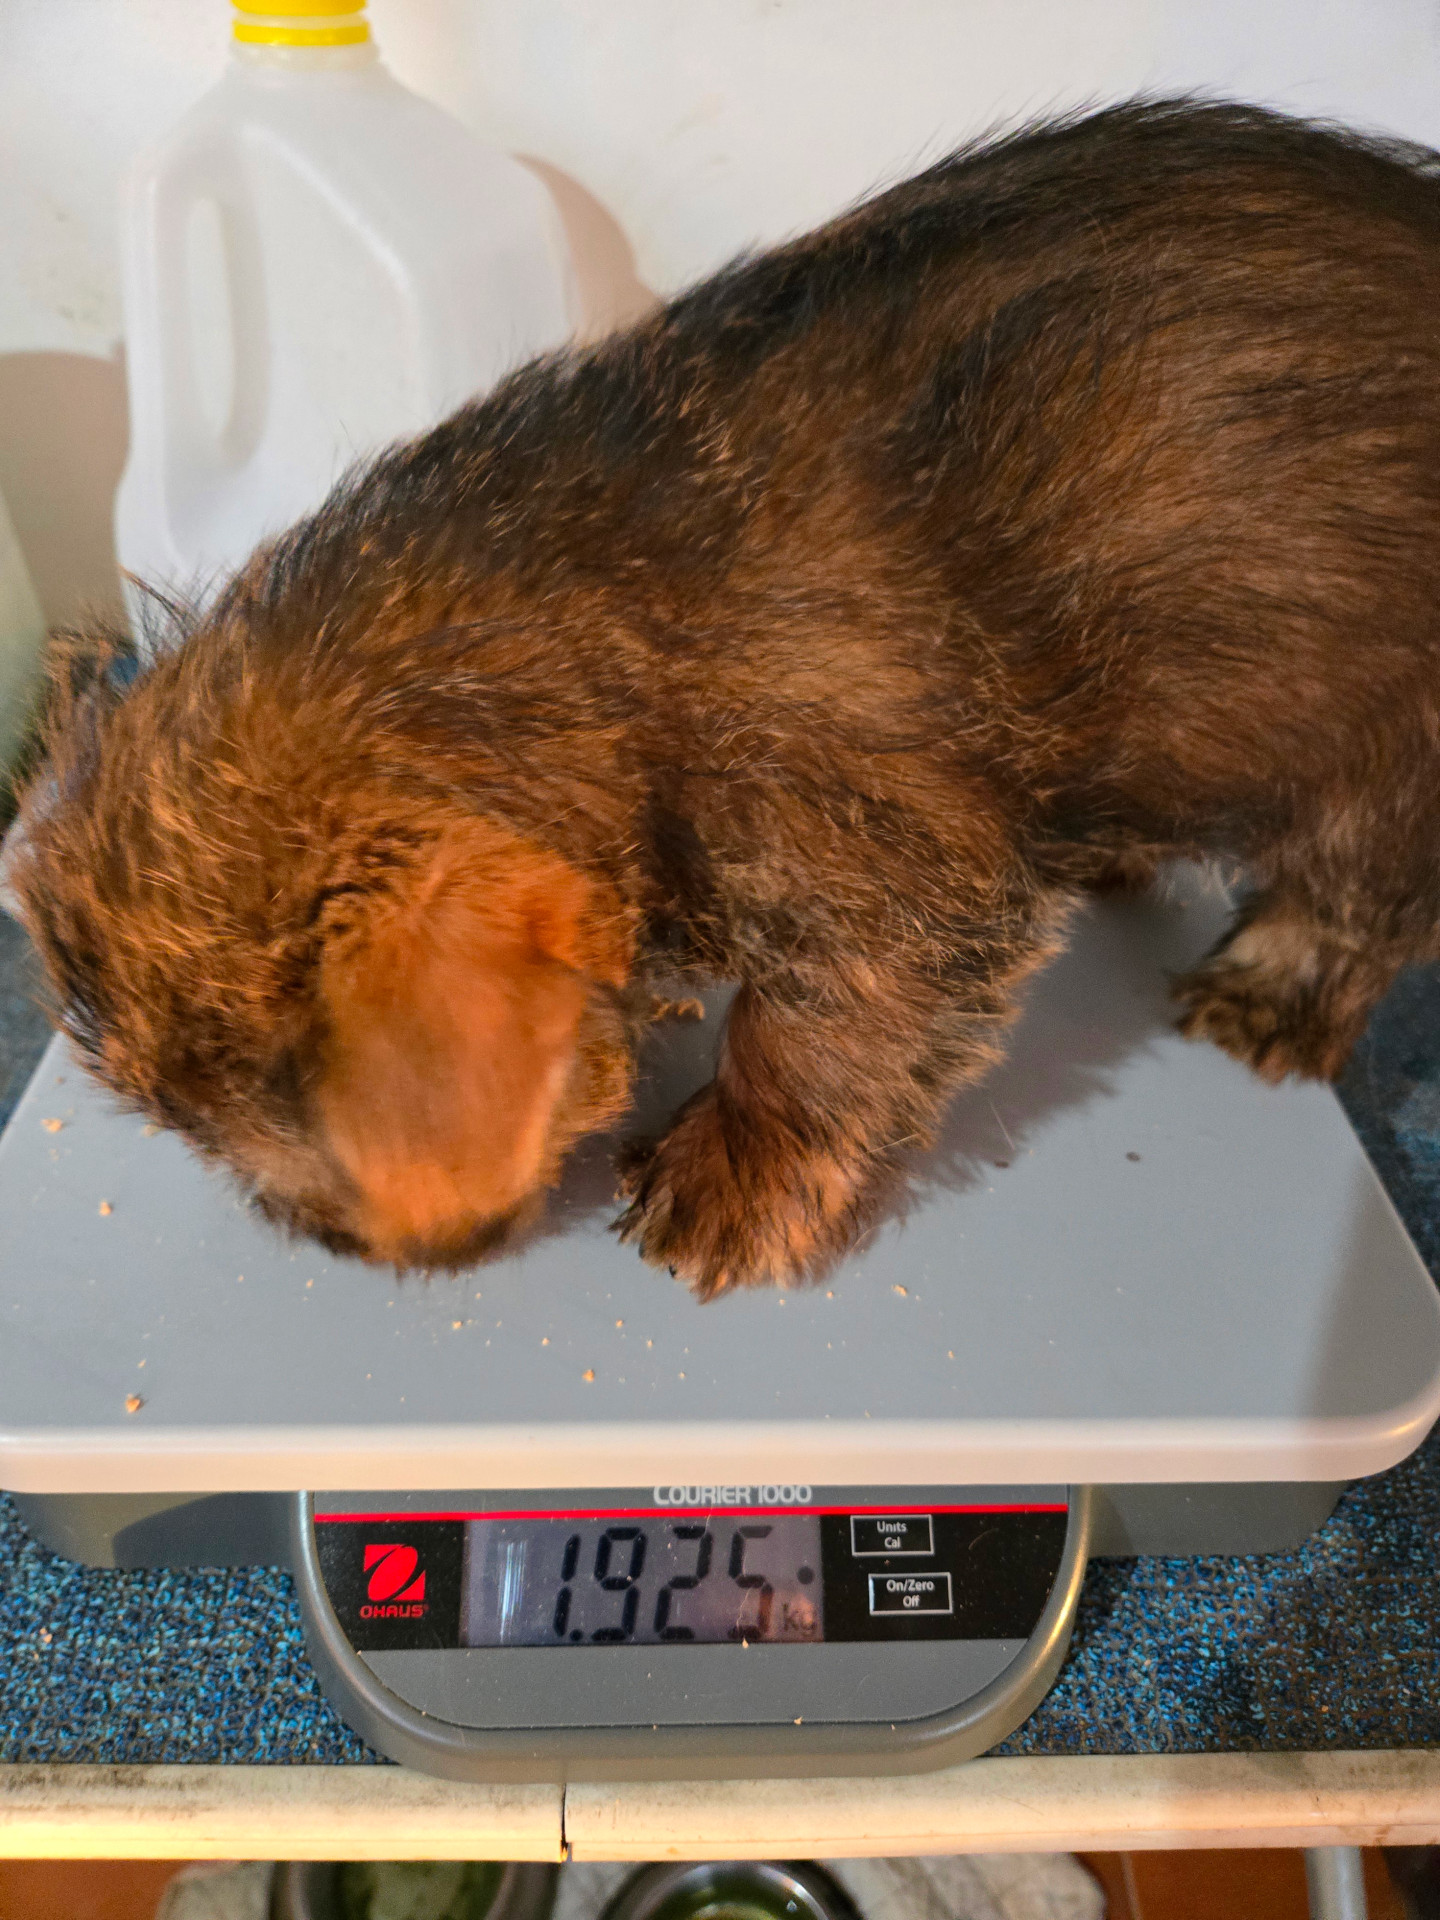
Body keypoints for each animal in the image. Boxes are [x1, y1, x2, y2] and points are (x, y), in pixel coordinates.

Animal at [12, 99, 1440, 1297]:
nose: (320, 1240)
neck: (597, 624)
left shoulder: (885, 877)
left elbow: (814, 1039)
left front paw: (733, 1178)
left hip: (1386, 750)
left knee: (1357, 899)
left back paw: (1271, 993)